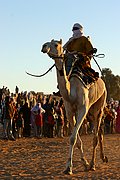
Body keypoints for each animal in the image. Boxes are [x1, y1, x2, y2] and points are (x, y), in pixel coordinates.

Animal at [41, 38, 108, 174]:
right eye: (48, 42)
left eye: (56, 44)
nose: (44, 46)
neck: (71, 91)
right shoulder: (69, 111)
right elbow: (75, 139)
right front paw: (80, 164)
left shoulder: (83, 108)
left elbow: (73, 138)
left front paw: (72, 167)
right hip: (90, 113)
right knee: (99, 132)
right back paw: (101, 158)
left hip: (99, 105)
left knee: (95, 136)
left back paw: (94, 164)